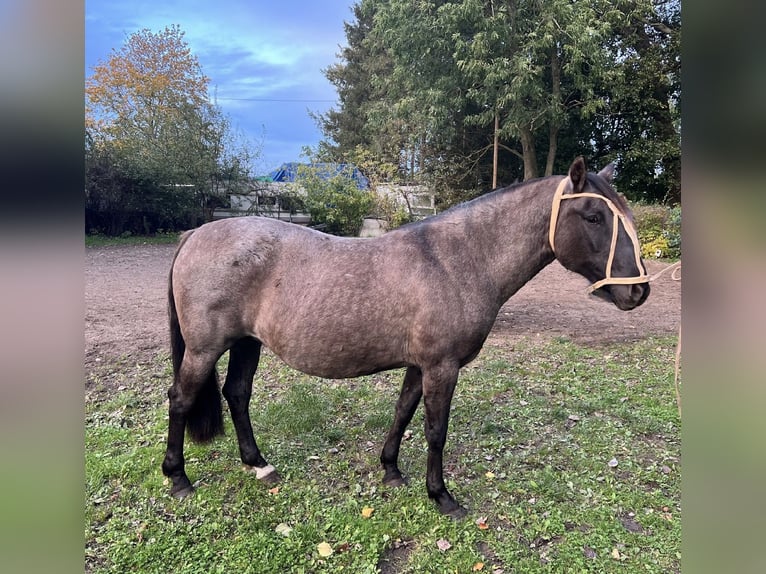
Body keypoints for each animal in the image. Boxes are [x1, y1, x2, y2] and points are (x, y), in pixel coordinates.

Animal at [164, 155, 656, 520]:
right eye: (593, 216)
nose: (638, 290)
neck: (455, 260)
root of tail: (197, 234)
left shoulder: (420, 366)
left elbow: (402, 412)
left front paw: (391, 471)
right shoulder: (442, 367)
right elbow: (436, 430)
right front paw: (441, 496)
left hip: (247, 343)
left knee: (237, 393)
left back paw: (258, 464)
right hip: (205, 349)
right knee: (181, 399)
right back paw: (178, 478)